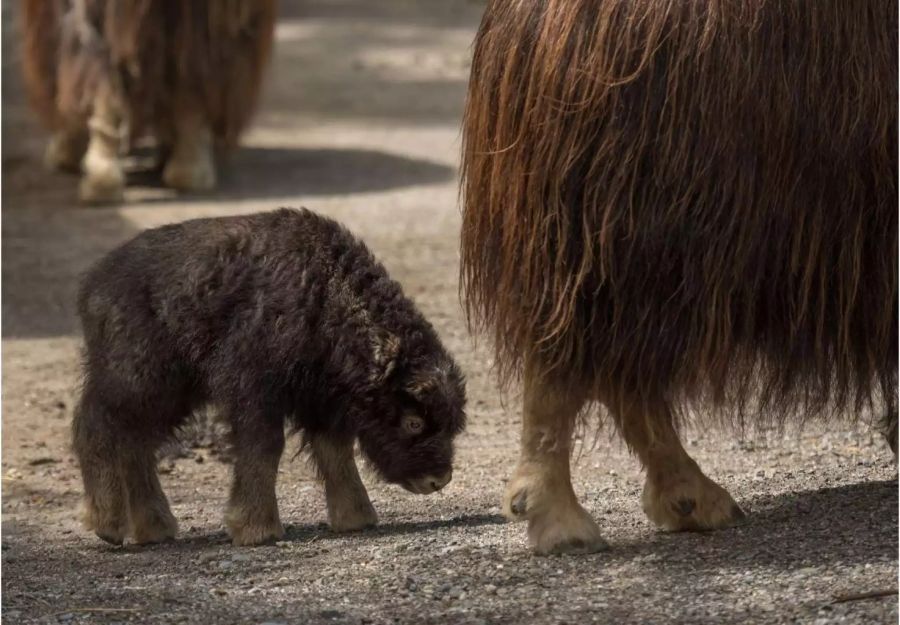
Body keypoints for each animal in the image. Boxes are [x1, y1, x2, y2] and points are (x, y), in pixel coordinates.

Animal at [74, 207, 468, 544]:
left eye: (452, 423)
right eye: (414, 422)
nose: (438, 479)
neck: (325, 296)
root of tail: (93, 284)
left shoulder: (322, 401)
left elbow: (335, 452)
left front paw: (356, 517)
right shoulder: (254, 389)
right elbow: (265, 448)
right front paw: (255, 528)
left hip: (171, 393)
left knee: (135, 443)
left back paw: (154, 527)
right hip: (138, 379)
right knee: (96, 427)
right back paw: (108, 523)